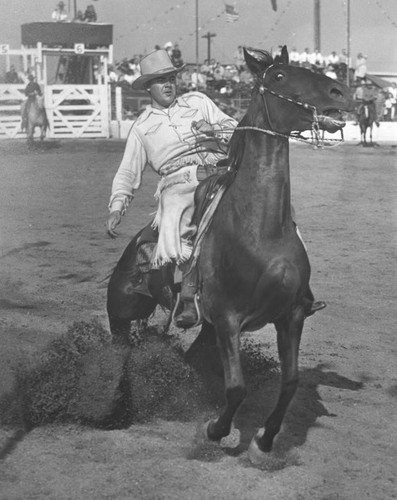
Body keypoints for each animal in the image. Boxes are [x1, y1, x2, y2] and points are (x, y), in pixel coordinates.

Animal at [106, 47, 352, 464]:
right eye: (279, 76)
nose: (340, 92)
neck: (260, 230)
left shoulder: (290, 315)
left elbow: (291, 381)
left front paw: (264, 440)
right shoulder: (227, 319)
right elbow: (236, 388)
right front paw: (215, 430)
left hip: (203, 329)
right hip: (123, 312)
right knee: (119, 352)